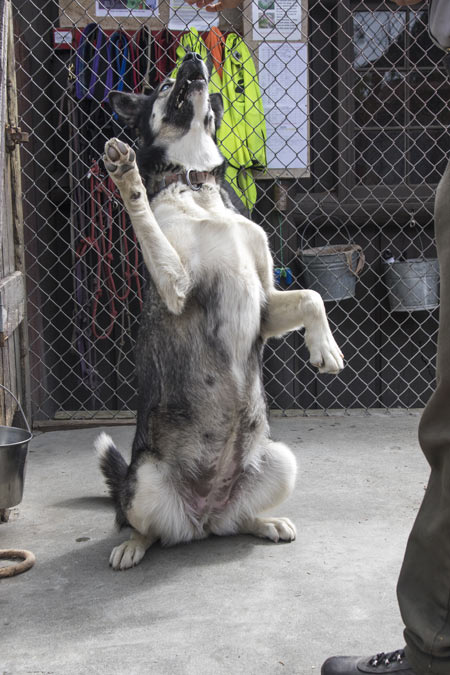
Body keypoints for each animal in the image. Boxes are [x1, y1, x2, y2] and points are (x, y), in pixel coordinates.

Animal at [94, 51, 342, 572]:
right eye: (164, 83)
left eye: (190, 69)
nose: (193, 58)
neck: (196, 184)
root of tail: (202, 515)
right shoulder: (175, 286)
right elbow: (145, 216)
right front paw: (127, 176)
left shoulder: (266, 304)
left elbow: (312, 295)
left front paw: (325, 349)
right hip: (144, 480)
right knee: (143, 526)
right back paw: (132, 545)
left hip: (282, 460)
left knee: (235, 521)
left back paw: (265, 522)